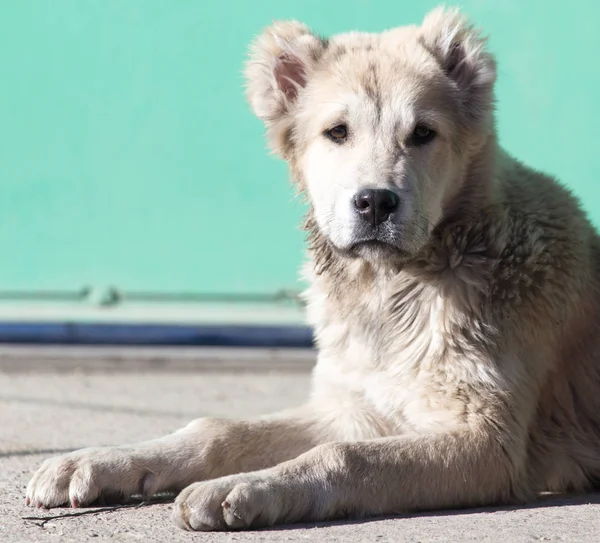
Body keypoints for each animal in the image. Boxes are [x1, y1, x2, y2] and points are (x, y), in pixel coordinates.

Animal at [25, 5, 600, 532]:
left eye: (423, 133)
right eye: (337, 132)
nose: (375, 202)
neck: (393, 289)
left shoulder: (487, 442)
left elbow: (346, 456)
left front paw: (245, 488)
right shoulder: (353, 407)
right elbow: (220, 428)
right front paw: (101, 460)